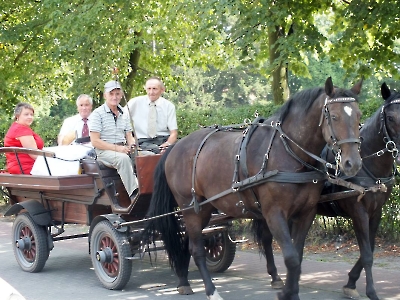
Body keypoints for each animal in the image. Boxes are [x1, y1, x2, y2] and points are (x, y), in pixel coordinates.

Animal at [144, 78, 362, 300]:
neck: (287, 151)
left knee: (188, 243)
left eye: (359, 116)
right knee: (197, 250)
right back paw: (211, 291)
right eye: (334, 116)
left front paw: (289, 290)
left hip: (201, 210)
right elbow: (291, 258)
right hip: (191, 208)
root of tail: (174, 148)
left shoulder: (306, 213)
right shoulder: (274, 213)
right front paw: (287, 292)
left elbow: (298, 257)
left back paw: (183, 281)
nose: (353, 163)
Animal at [253, 82, 400, 300]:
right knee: (266, 237)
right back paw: (275, 276)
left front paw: (351, 281)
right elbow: (367, 254)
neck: (367, 161)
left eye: (358, 115)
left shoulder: (376, 211)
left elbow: (370, 248)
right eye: (390, 118)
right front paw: (370, 291)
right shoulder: (359, 212)